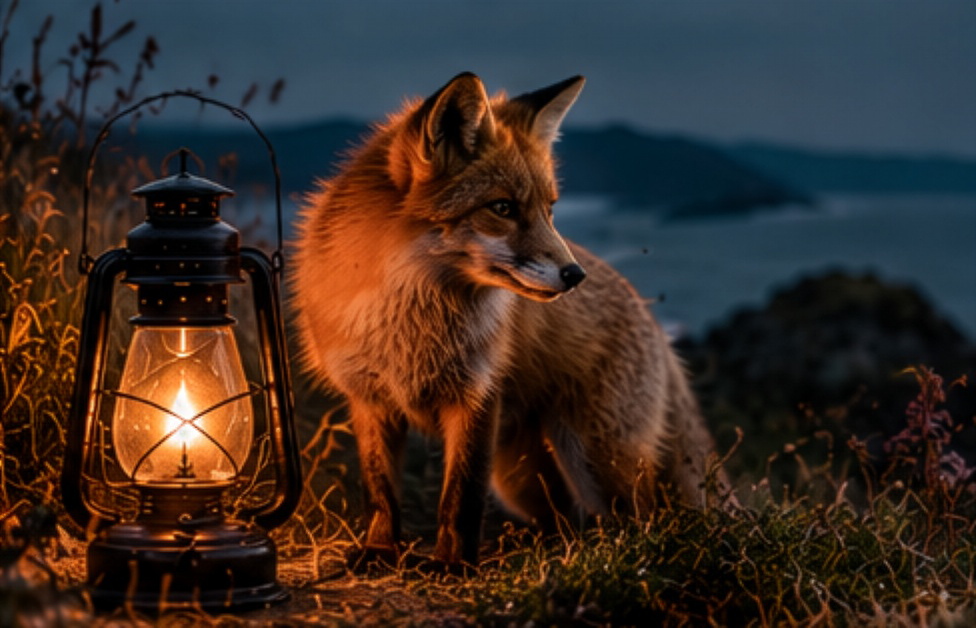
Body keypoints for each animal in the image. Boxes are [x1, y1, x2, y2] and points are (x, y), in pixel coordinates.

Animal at [292, 73, 726, 567]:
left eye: (550, 209)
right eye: (502, 208)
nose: (575, 275)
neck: (408, 315)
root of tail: (650, 314)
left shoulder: (479, 394)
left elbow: (460, 497)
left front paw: (453, 566)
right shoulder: (370, 400)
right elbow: (380, 492)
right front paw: (380, 551)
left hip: (594, 457)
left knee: (642, 520)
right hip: (520, 475)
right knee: (564, 519)